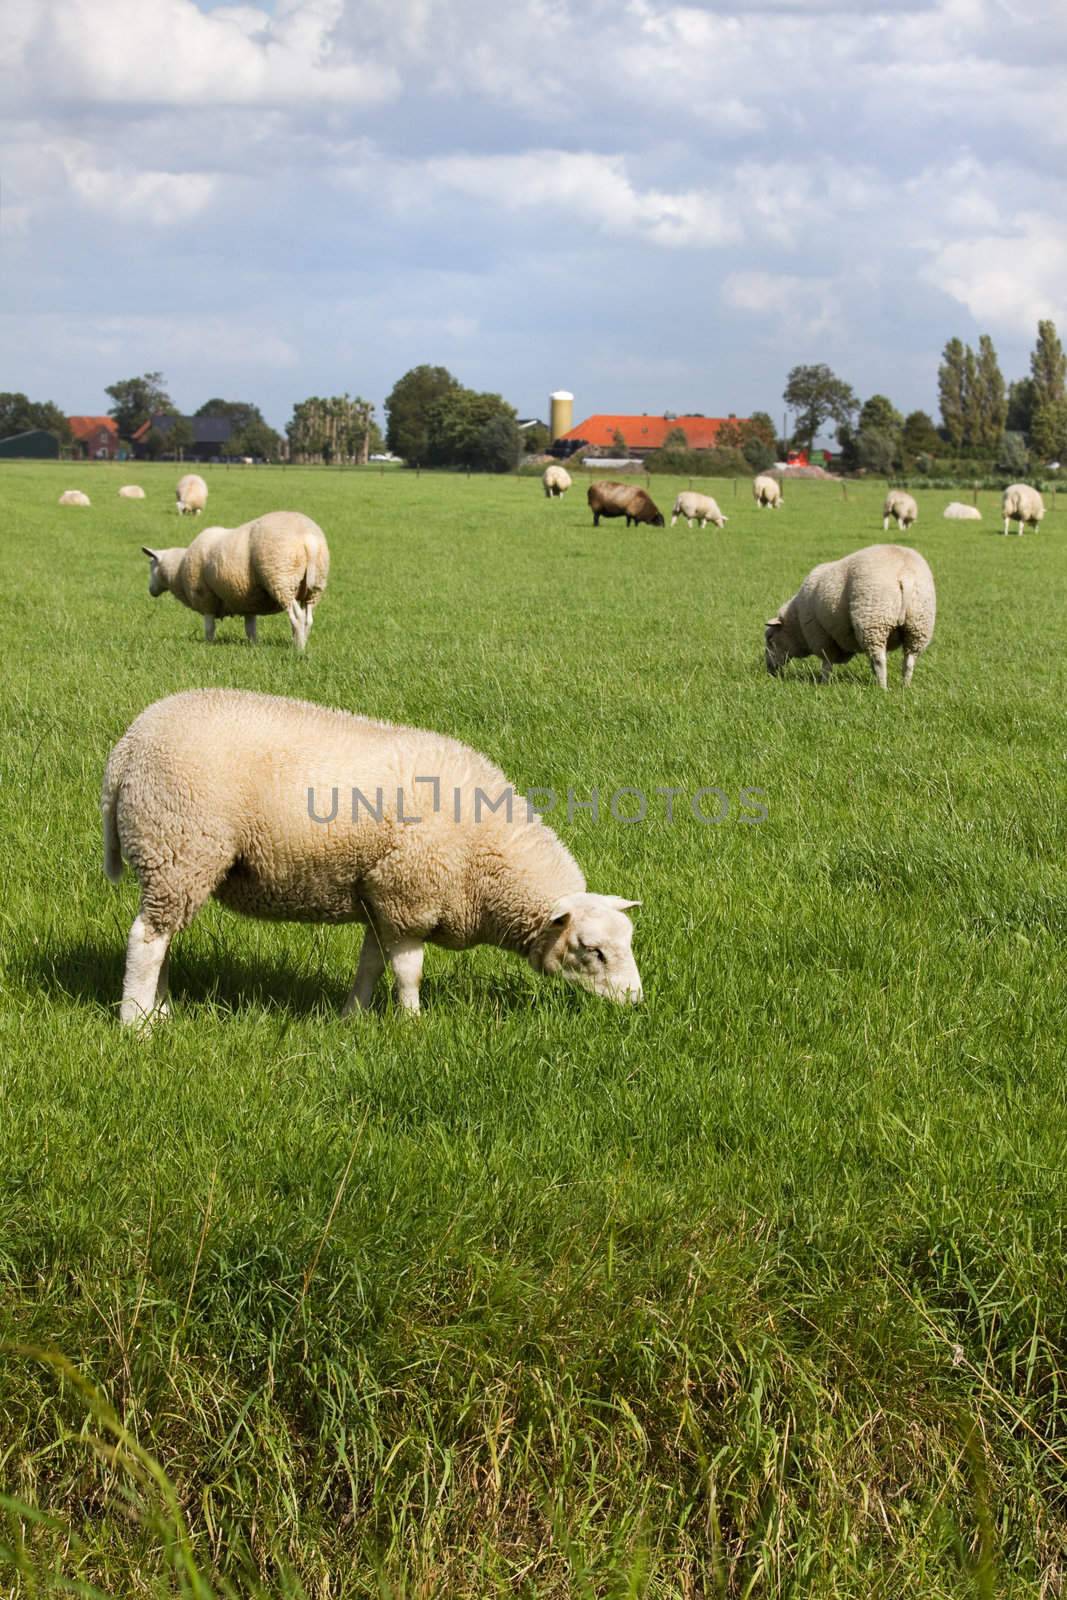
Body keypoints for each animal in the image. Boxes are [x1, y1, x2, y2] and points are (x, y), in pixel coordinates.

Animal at [103, 688, 646, 1024]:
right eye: (593, 950)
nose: (637, 1001)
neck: (488, 858)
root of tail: (127, 746)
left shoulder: (379, 899)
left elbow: (370, 965)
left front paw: (354, 1018)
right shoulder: (409, 897)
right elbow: (408, 971)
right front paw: (411, 1023)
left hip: (179, 864)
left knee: (164, 937)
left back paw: (161, 1011)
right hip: (178, 846)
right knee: (146, 939)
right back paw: (138, 1024)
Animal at [140, 505, 329, 643]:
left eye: (150, 563)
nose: (150, 591)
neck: (178, 571)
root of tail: (309, 540)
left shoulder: (206, 597)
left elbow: (209, 628)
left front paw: (208, 645)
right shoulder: (249, 602)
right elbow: (251, 630)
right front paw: (254, 646)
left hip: (282, 578)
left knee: (297, 618)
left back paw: (298, 648)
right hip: (314, 587)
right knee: (308, 618)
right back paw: (302, 643)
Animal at [764, 544, 940, 688]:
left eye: (770, 640)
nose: (769, 671)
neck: (797, 625)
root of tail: (905, 574)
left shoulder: (822, 637)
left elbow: (826, 664)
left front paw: (823, 684)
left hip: (874, 620)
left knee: (879, 660)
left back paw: (882, 688)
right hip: (918, 625)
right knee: (909, 661)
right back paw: (905, 686)